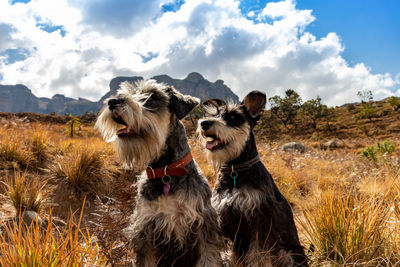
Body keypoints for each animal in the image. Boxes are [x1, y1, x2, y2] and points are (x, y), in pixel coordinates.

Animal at [95, 80, 223, 266]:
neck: (165, 172)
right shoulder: (145, 232)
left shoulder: (204, 227)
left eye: (152, 97)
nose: (112, 102)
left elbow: (209, 258)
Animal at [198, 91, 308, 266]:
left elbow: (258, 255)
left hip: (287, 253)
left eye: (234, 116)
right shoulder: (225, 220)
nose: (204, 123)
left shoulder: (261, 219)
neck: (235, 170)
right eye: (214, 114)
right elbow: (229, 253)